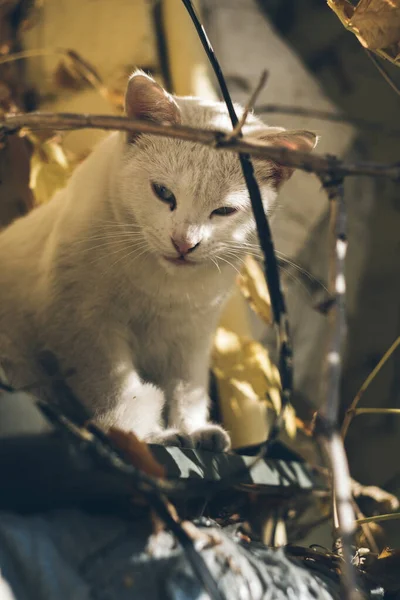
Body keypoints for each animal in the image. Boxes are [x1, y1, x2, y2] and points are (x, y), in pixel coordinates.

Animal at [0, 71, 316, 450]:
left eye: (224, 211)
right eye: (163, 193)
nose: (184, 243)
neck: (159, 287)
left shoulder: (192, 337)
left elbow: (187, 389)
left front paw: (192, 430)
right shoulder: (83, 324)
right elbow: (114, 389)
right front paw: (141, 434)